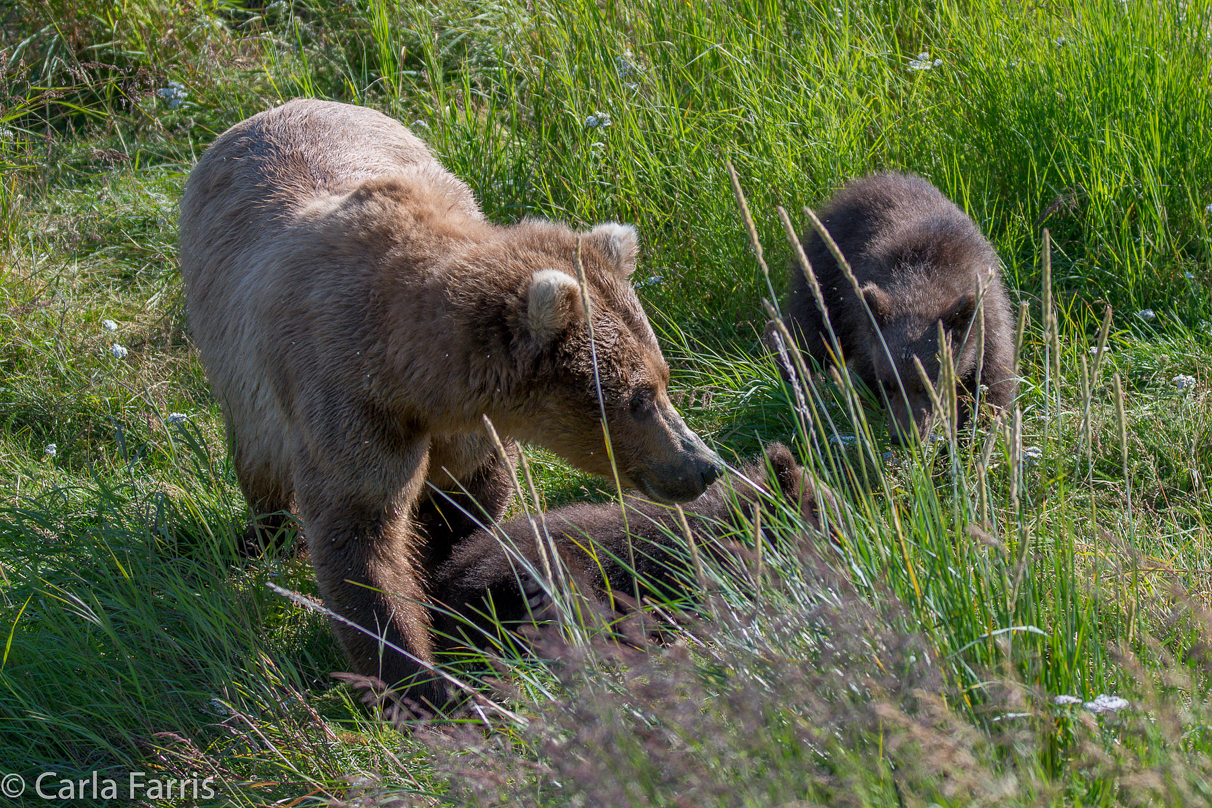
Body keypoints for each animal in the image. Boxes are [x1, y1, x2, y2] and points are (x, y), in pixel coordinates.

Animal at [179, 98, 717, 712]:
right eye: (638, 397)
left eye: (663, 377)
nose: (703, 464)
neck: (411, 375)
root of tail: (269, 111)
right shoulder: (345, 402)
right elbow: (360, 537)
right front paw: (427, 685)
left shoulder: (469, 425)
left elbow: (467, 500)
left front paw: (446, 580)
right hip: (232, 358)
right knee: (258, 461)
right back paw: (263, 534)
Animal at [775, 173, 1013, 445]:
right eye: (888, 384)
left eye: (927, 385)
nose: (904, 437)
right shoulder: (866, 332)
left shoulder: (988, 324)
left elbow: (991, 389)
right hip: (825, 278)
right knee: (810, 335)